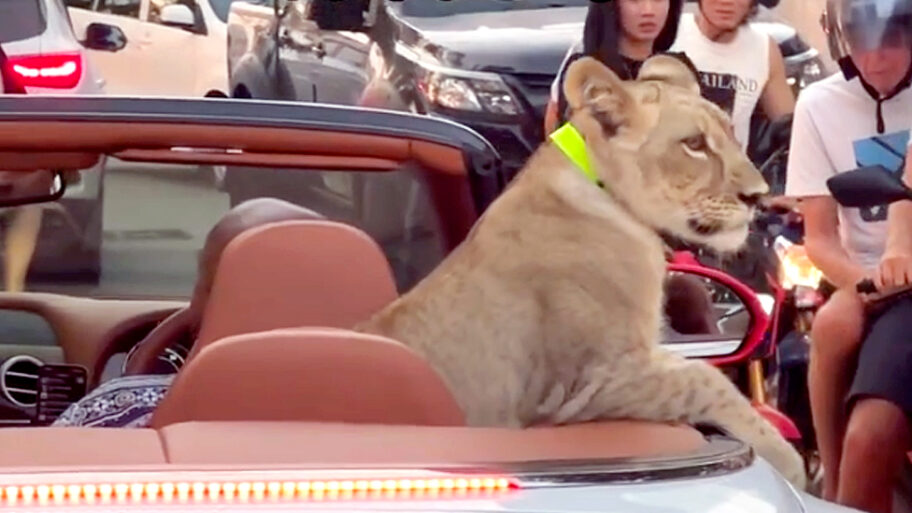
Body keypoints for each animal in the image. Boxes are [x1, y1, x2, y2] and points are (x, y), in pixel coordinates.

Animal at [356, 54, 806, 489]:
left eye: (731, 134)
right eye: (694, 144)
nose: (760, 196)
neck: (607, 194)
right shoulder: (584, 385)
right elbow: (705, 379)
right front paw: (789, 461)